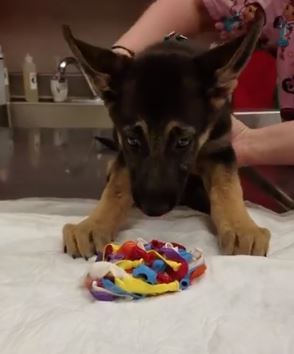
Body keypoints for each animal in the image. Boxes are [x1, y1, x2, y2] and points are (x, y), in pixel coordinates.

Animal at [63, 10, 270, 260]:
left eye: (183, 141)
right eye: (133, 140)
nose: (153, 209)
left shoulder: (221, 148)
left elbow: (227, 186)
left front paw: (242, 227)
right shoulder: (125, 152)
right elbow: (117, 187)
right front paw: (93, 224)